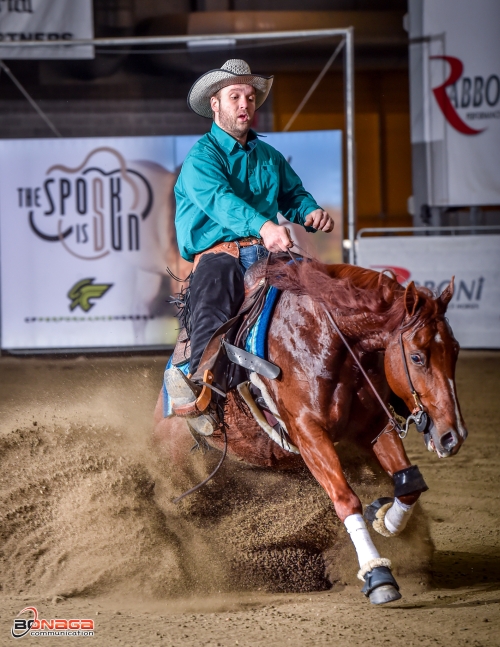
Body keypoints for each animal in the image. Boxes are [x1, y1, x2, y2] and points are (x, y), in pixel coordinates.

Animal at [153, 260, 468, 604]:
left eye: (455, 351)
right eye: (416, 356)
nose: (452, 436)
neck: (325, 339)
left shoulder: (374, 426)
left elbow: (409, 483)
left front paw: (383, 517)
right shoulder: (309, 434)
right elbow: (345, 499)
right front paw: (378, 576)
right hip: (177, 461)